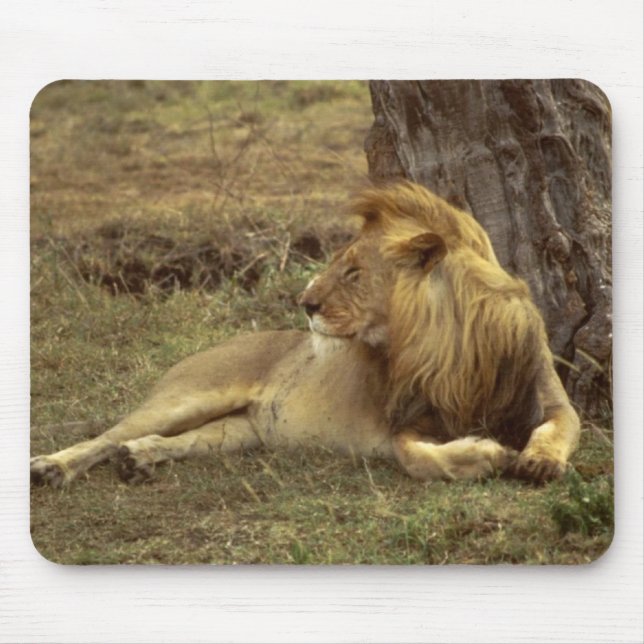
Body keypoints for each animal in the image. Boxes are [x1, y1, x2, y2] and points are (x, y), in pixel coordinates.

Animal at [31, 181, 580, 488]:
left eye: (354, 272)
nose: (305, 303)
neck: (459, 347)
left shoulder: (549, 395)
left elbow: (557, 427)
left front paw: (538, 461)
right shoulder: (406, 422)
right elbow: (418, 458)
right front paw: (489, 456)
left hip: (241, 430)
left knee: (172, 440)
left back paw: (140, 458)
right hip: (188, 395)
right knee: (107, 435)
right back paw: (53, 467)